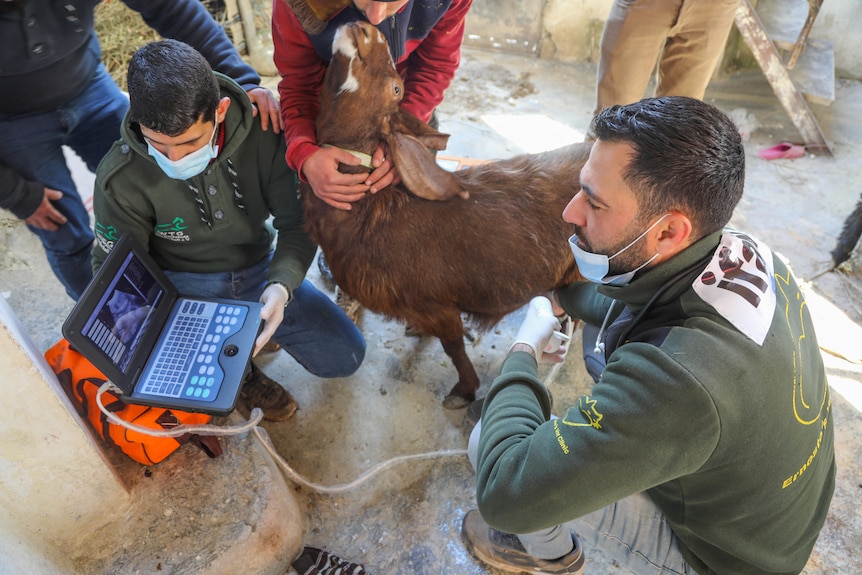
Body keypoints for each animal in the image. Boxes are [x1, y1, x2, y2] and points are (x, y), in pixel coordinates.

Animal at [300, 22, 592, 410]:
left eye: (397, 88)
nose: (365, 28)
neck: (372, 217)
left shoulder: (435, 302)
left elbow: (452, 346)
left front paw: (464, 390)